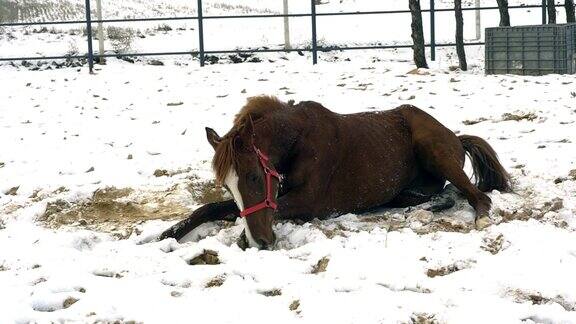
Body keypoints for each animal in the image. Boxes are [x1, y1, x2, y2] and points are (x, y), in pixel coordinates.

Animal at [158, 95, 508, 249]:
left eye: (255, 177)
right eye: (229, 185)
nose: (262, 241)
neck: (298, 140)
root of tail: (455, 136)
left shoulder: (310, 202)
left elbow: (245, 214)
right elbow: (212, 208)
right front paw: (167, 234)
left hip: (435, 152)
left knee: (475, 196)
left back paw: (479, 218)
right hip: (410, 188)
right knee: (442, 194)